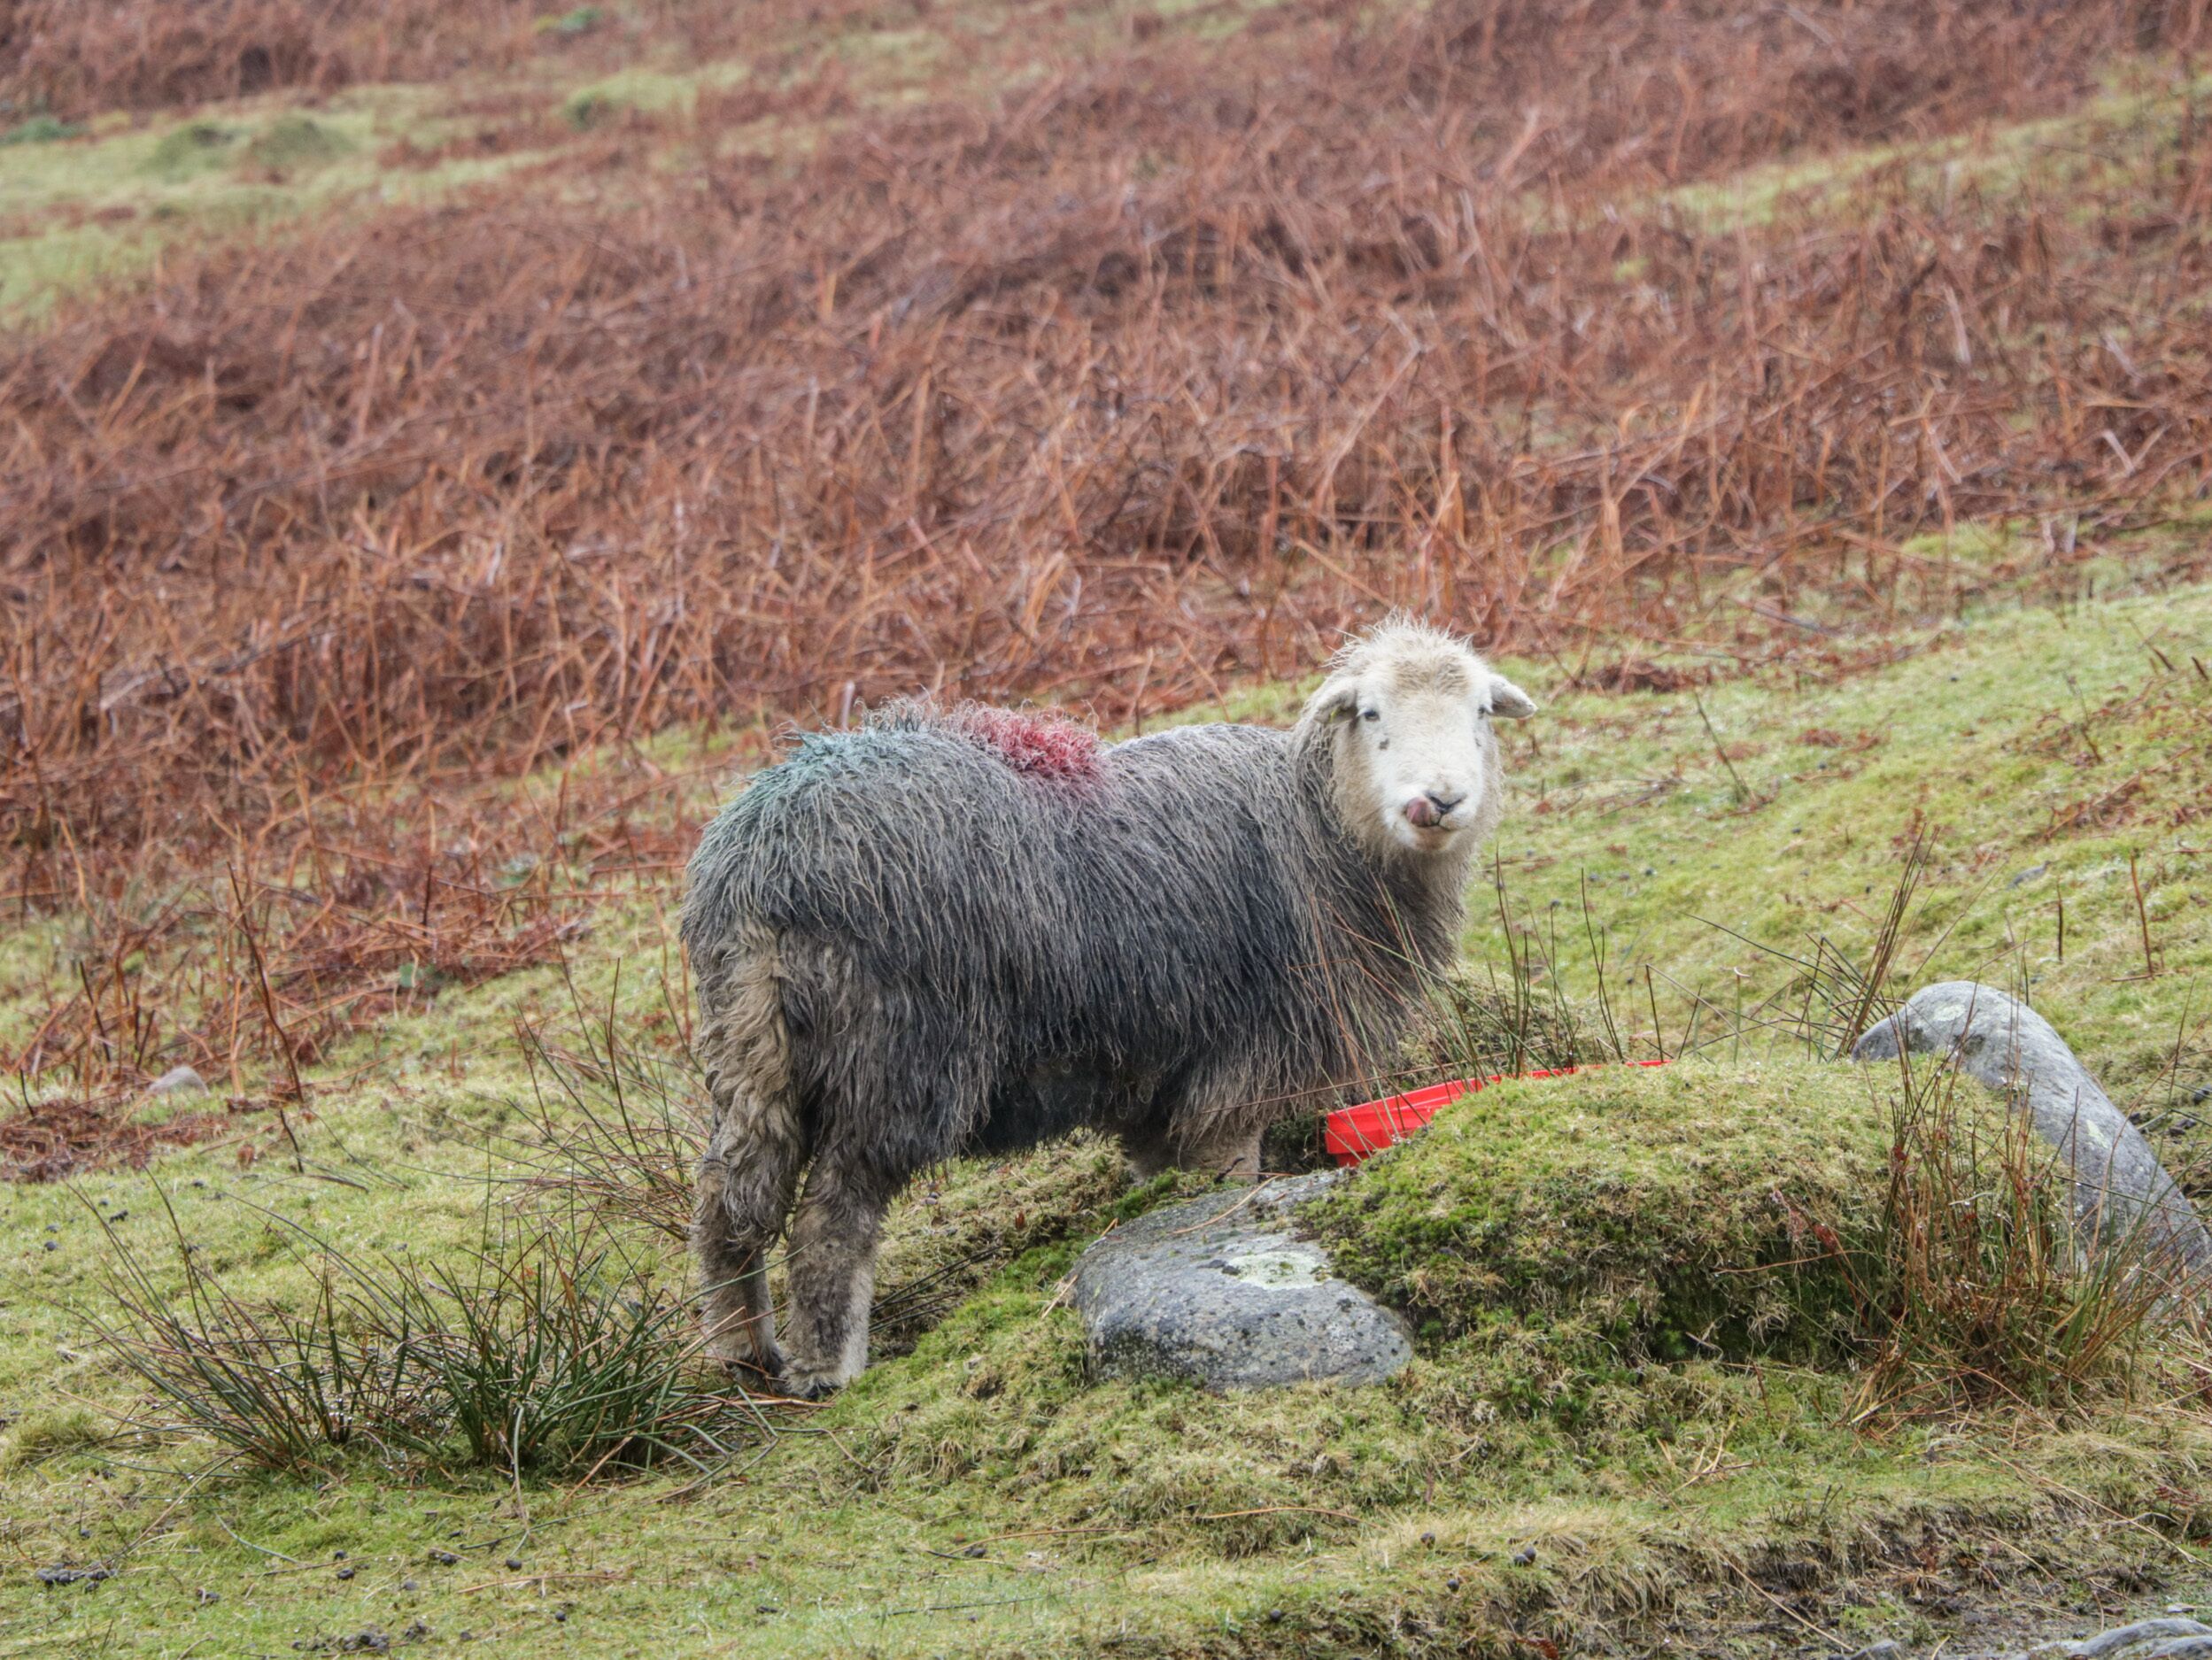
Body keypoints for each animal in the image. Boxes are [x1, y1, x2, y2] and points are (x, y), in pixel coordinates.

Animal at [682, 620, 1537, 1395]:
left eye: (1480, 713)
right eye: (1369, 712)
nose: (1440, 801)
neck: (1321, 829)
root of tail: (768, 858)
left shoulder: (1155, 1074)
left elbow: (1160, 1174)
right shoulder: (1242, 1064)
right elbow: (1226, 1177)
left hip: (748, 1043)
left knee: (726, 1197)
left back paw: (741, 1349)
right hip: (899, 1052)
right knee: (834, 1218)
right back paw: (828, 1369)